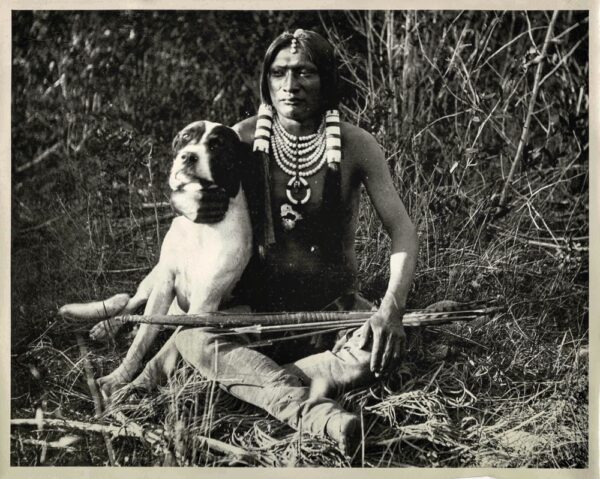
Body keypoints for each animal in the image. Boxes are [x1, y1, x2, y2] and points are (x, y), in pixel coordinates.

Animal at [95, 122, 253, 400]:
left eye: (217, 144)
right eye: (185, 137)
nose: (188, 156)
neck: (203, 227)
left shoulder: (202, 307)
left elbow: (158, 357)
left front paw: (135, 386)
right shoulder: (164, 286)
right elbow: (141, 342)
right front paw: (117, 377)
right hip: (153, 279)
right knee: (132, 302)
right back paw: (107, 325)